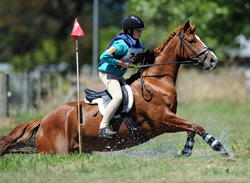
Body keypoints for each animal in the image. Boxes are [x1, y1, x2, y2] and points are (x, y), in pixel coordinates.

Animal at [0, 21, 229, 156]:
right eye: (191, 41)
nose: (213, 60)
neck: (156, 82)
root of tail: (44, 119)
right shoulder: (162, 120)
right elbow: (196, 126)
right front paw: (219, 147)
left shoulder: (167, 120)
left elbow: (192, 128)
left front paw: (187, 150)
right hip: (57, 152)